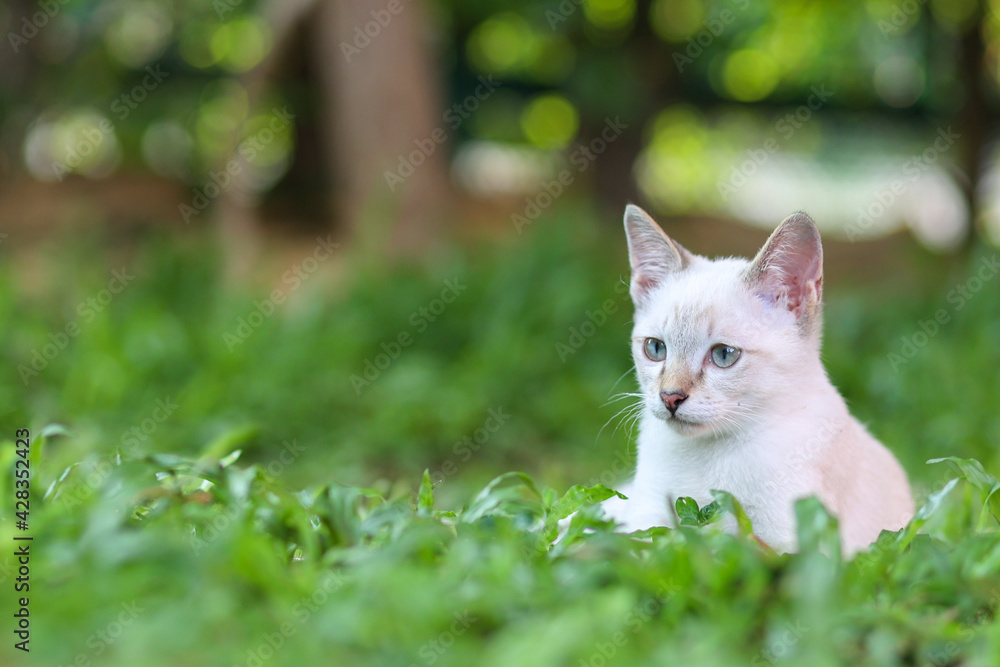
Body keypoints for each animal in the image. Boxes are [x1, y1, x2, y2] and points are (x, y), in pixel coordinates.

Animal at [600, 205, 916, 552]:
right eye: (656, 348)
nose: (670, 397)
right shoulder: (648, 519)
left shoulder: (788, 545)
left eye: (724, 355)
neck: (709, 454)